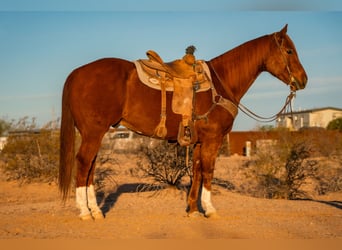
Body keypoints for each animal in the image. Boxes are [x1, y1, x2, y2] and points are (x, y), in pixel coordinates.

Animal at [58, 24, 308, 221]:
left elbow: (196, 171)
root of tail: (77, 73)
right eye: (289, 50)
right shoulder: (213, 140)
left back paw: (96, 211)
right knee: (84, 164)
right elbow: (208, 171)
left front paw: (192, 210)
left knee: (91, 166)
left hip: (95, 133)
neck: (221, 83)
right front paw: (209, 209)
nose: (303, 79)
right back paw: (85, 212)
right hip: (93, 132)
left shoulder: (199, 142)